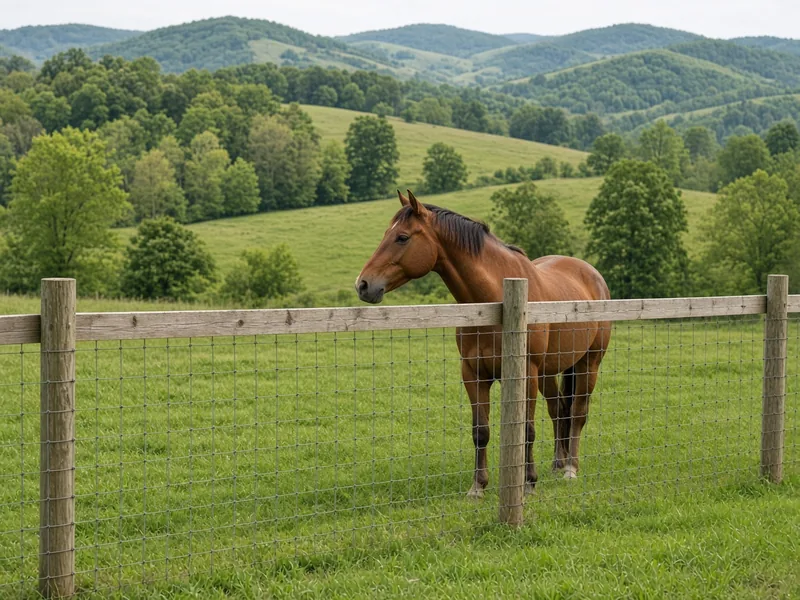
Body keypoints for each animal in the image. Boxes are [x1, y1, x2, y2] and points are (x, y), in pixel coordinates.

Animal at [355, 190, 612, 498]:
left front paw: (528, 483)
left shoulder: (526, 374)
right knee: (559, 409)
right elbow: (481, 431)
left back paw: (571, 469)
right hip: (550, 372)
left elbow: (526, 429)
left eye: (402, 237)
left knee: (577, 413)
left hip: (588, 364)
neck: (493, 302)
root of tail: (592, 275)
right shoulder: (474, 374)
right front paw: (478, 486)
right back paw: (557, 464)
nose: (363, 284)